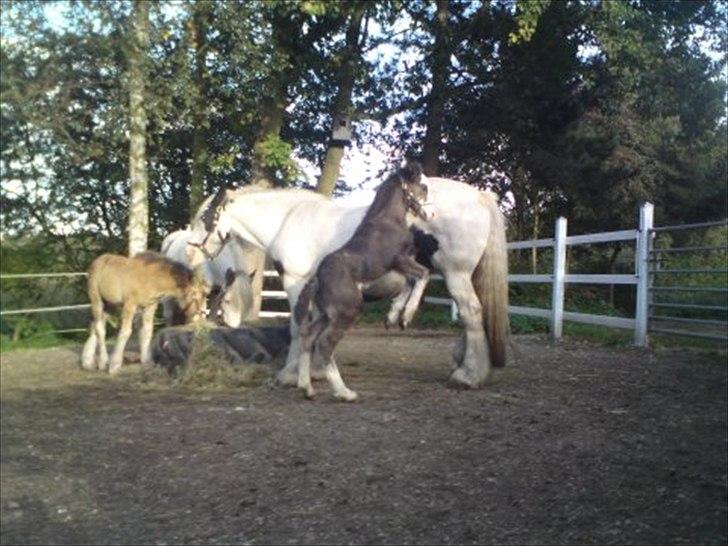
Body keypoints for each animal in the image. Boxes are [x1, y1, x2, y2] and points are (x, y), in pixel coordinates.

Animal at [185, 176, 510, 394]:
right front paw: (314, 371)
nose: (189, 251)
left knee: (471, 312)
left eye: (204, 218)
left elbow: (297, 326)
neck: (287, 220)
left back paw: (469, 375)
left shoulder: (296, 282)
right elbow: (315, 326)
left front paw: (290, 374)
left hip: (456, 273)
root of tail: (479, 196)